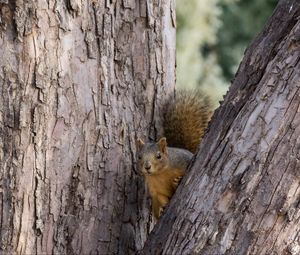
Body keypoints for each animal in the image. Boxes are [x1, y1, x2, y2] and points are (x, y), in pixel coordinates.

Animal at [137, 90, 211, 219]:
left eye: (159, 156)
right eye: (139, 157)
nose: (147, 167)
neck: (160, 174)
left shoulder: (183, 161)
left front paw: (177, 182)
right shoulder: (154, 188)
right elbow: (161, 197)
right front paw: (163, 208)